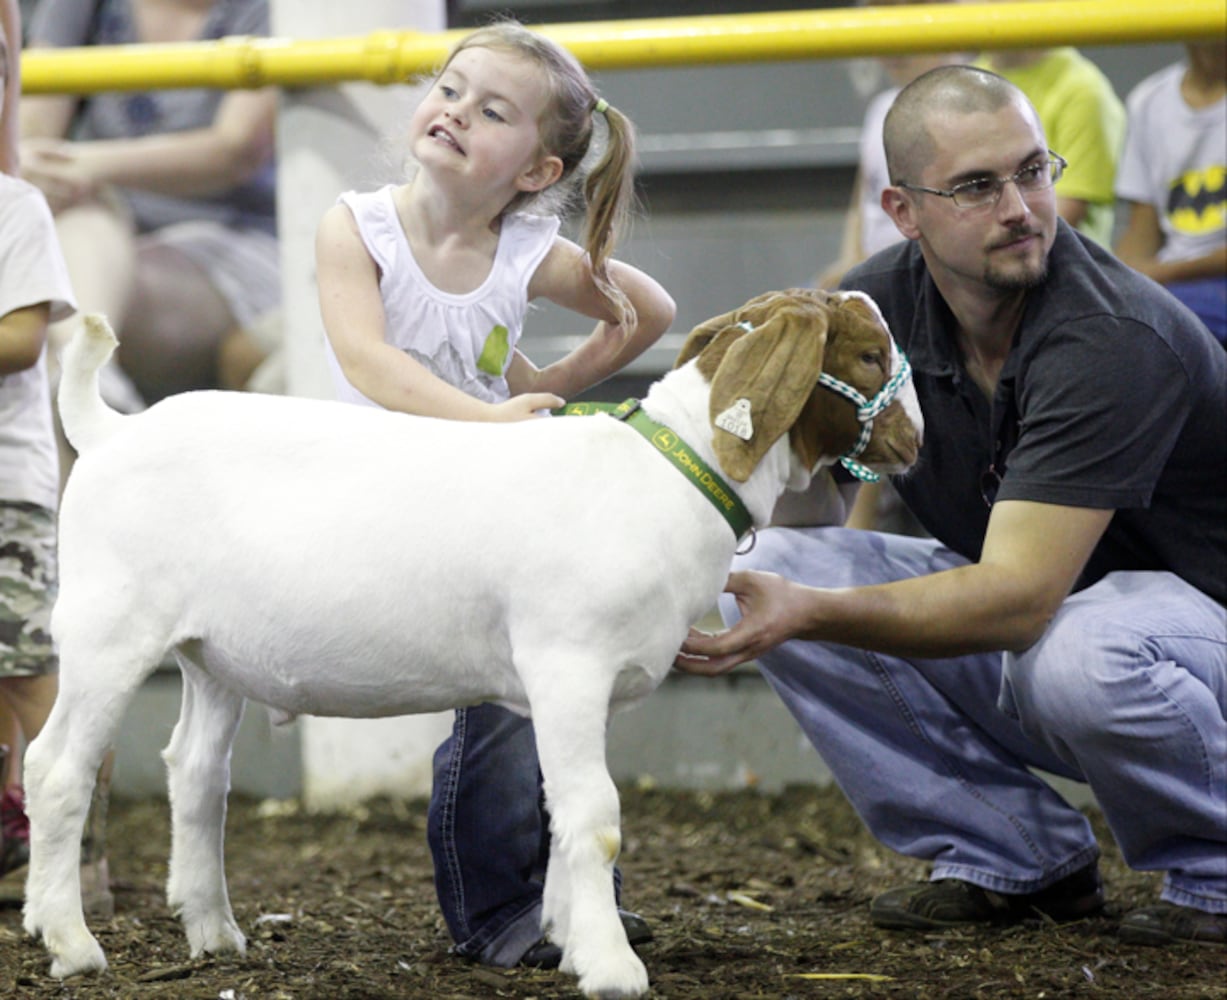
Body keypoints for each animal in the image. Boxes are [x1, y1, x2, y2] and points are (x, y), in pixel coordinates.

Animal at [23, 289, 922, 1000]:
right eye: (869, 353)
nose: (913, 443)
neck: (665, 474)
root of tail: (110, 432)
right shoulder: (569, 662)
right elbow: (597, 814)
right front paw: (611, 968)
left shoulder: (580, 688)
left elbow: (559, 808)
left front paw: (566, 939)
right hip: (108, 629)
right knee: (58, 771)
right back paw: (70, 941)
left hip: (209, 654)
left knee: (197, 773)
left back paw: (210, 932)